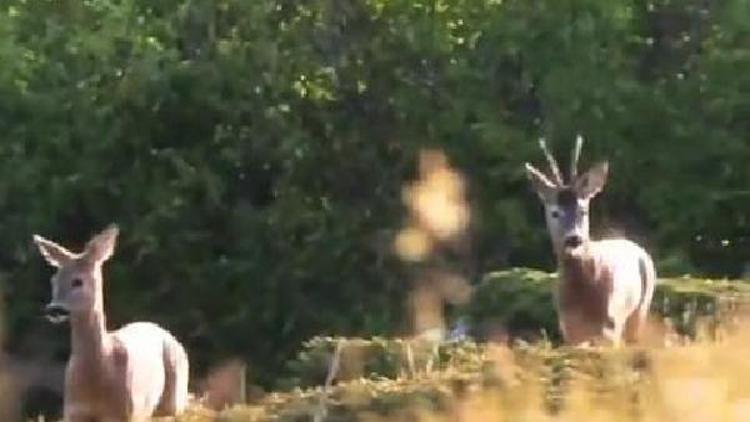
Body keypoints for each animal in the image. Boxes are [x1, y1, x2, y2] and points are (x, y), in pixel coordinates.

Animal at [33, 226, 189, 420]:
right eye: (53, 280)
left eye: (78, 281)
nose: (54, 309)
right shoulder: (72, 411)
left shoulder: (124, 412)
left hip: (175, 395)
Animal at [524, 137, 656, 344]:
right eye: (555, 212)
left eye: (583, 210)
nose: (574, 239)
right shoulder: (570, 330)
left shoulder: (611, 324)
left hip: (641, 308)